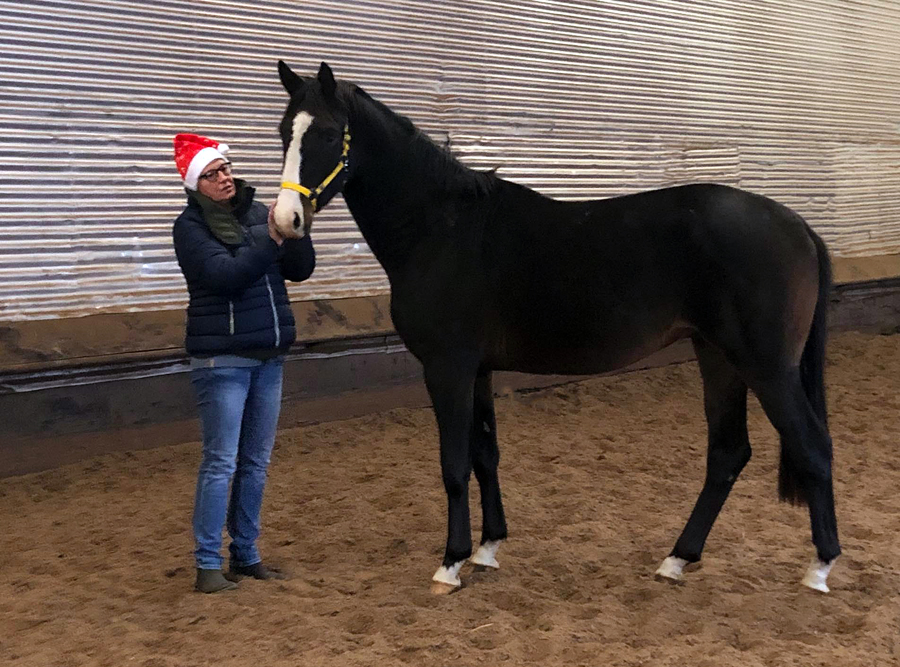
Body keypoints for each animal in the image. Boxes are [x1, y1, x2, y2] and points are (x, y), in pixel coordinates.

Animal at [272, 62, 836, 596]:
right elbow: (485, 455)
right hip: (717, 356)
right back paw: (676, 559)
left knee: (812, 445)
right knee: (727, 453)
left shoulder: (447, 369)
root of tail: (798, 225)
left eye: (327, 134)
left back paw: (820, 568)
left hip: (766, 366)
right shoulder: (478, 371)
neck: (441, 230)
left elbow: (454, 465)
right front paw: (488, 549)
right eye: (283, 132)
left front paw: (450, 564)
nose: (284, 220)